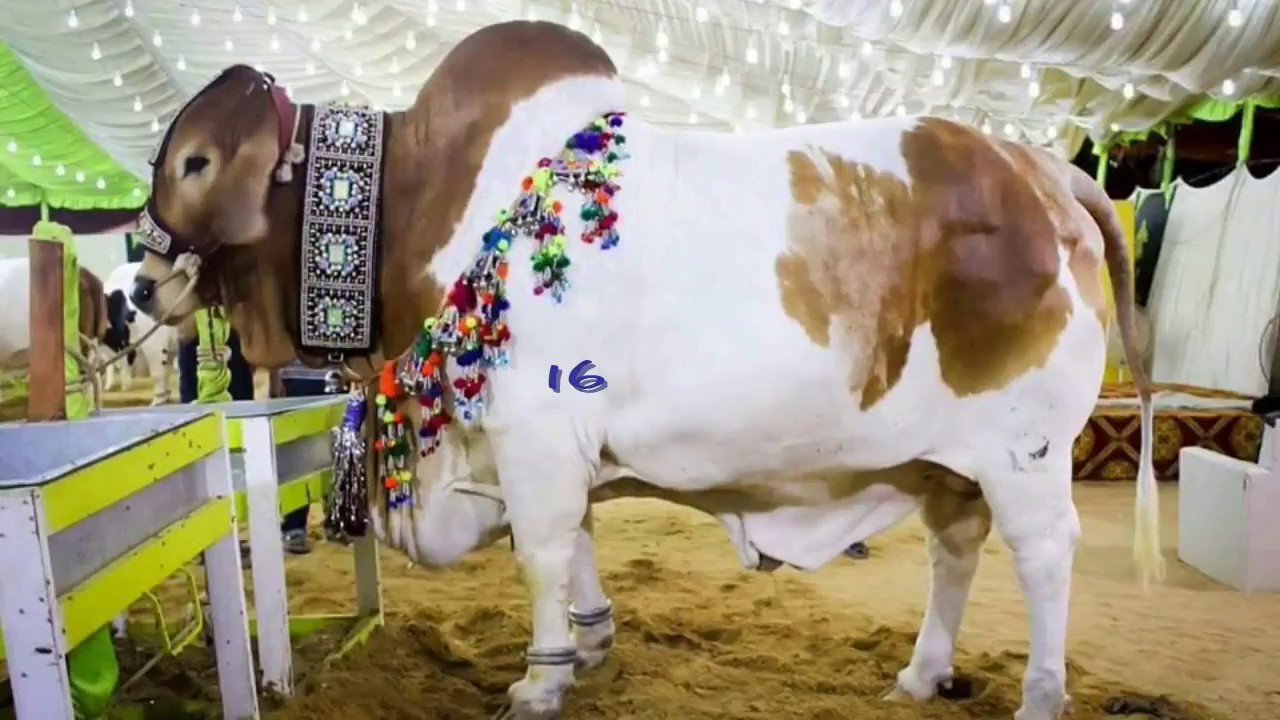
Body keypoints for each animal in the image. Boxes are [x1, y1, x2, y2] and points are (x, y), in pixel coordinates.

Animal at [127, 22, 1159, 720]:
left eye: (196, 161)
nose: (138, 286)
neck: (423, 202)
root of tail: (1042, 168)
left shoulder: (533, 434)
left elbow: (541, 551)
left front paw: (538, 682)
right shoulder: (547, 451)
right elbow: (576, 541)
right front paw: (588, 646)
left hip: (1024, 451)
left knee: (1043, 556)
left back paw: (1039, 693)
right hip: (951, 464)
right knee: (955, 551)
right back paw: (920, 673)